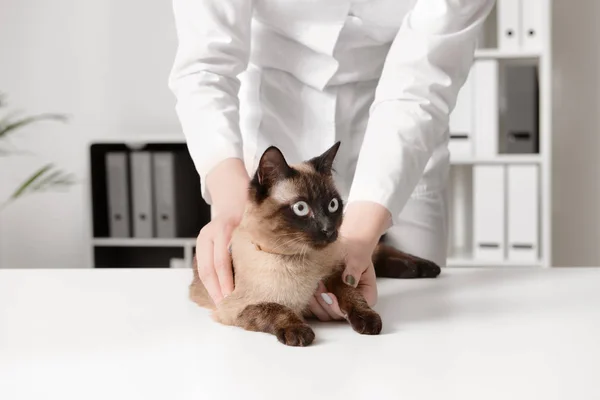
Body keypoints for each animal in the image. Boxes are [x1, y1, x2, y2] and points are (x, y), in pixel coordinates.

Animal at [190, 143, 438, 346]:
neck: (298, 260)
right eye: (301, 208)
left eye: (332, 205)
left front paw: (368, 321)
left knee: (379, 252)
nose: (329, 230)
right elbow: (276, 308)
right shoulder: (235, 308)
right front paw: (300, 332)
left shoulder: (336, 274)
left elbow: (352, 294)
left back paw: (426, 267)